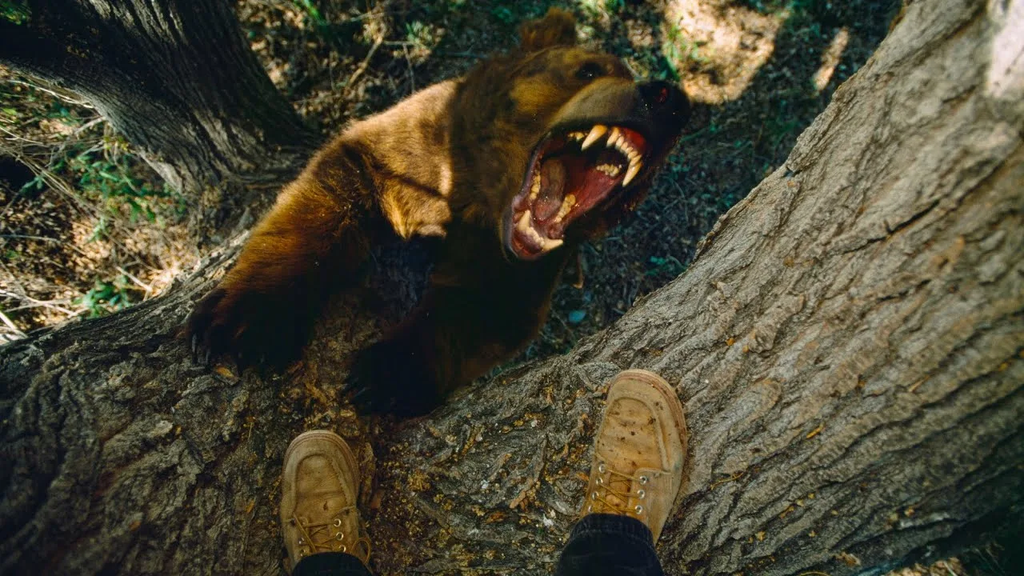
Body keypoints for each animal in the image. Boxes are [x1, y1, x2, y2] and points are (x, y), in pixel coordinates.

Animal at [187, 9, 690, 416]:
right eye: (588, 68)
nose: (668, 98)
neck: (484, 192)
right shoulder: (412, 150)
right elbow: (322, 202)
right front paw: (240, 327)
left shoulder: (524, 263)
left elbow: (479, 307)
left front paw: (382, 374)